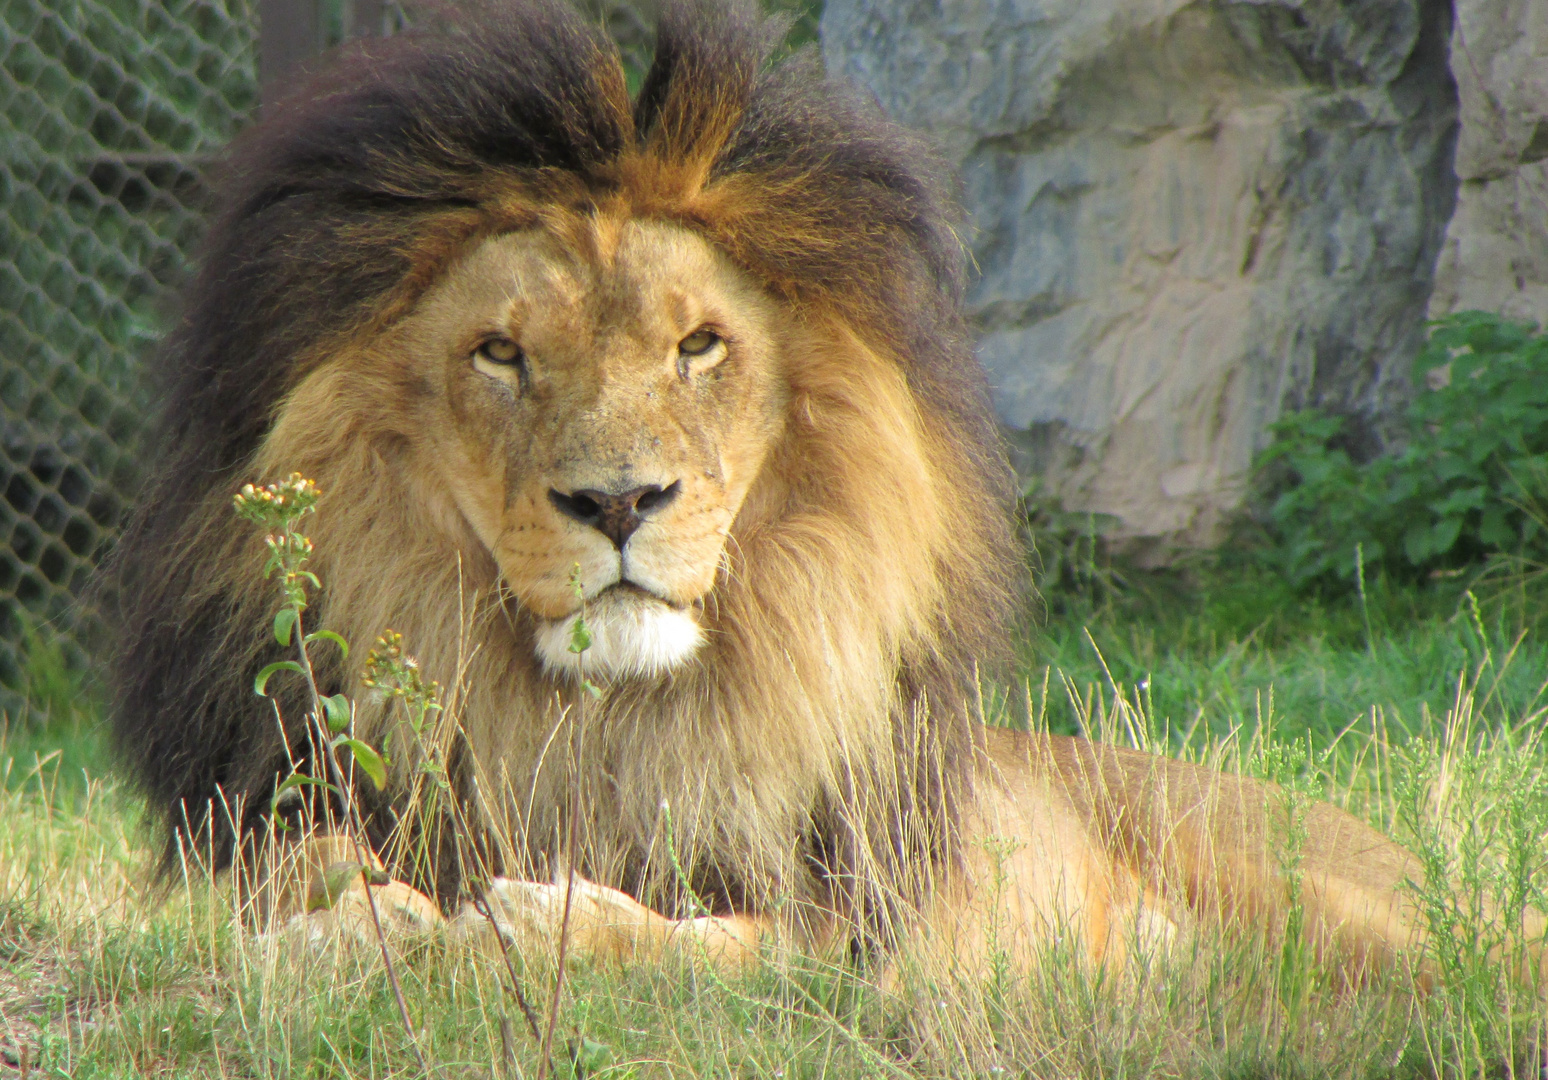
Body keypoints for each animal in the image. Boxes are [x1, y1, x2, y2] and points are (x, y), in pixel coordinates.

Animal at [106, 0, 1498, 977]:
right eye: (500, 353)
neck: (611, 728)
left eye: (698, 345)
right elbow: (293, 877)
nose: (621, 504)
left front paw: (539, 926)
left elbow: (711, 953)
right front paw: (351, 925)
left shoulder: (853, 941)